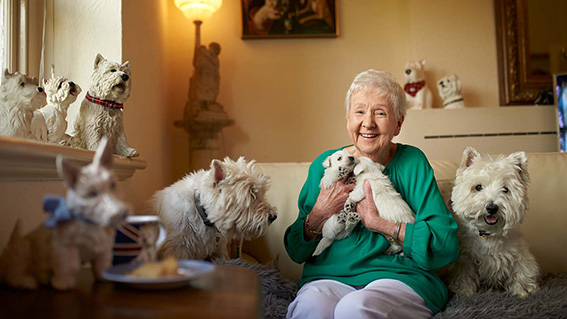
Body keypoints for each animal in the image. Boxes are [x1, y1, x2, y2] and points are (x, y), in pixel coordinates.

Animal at [0, 136, 131, 292]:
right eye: (92, 194)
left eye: (113, 185)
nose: (122, 213)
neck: (90, 223)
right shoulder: (65, 248)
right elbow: (70, 265)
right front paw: (63, 284)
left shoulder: (104, 249)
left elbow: (102, 264)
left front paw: (104, 277)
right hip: (22, 251)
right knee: (13, 273)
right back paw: (28, 282)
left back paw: (43, 277)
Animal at [448, 147, 540, 298]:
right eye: (478, 187)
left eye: (505, 189)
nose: (492, 207)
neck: (488, 234)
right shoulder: (465, 257)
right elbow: (465, 275)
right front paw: (465, 292)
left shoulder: (519, 254)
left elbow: (521, 271)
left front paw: (521, 291)